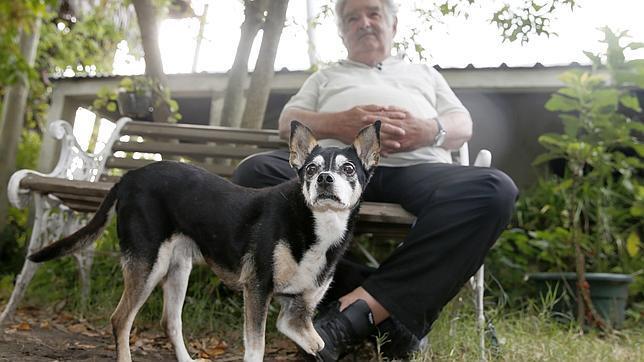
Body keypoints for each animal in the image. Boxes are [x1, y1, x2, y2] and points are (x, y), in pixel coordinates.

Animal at [30, 121, 380, 360]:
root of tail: (129, 177)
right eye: (310, 169)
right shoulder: (257, 291)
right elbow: (256, 349)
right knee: (121, 320)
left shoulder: (297, 311)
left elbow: (315, 341)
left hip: (178, 269)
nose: (324, 179)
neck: (313, 225)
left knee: (169, 322)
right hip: (148, 266)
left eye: (349, 168)